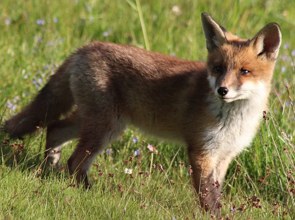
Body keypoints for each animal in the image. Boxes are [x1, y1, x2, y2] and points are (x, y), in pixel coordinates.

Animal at [4, 13, 282, 215]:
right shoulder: (201, 151)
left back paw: (48, 169)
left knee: (55, 128)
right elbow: (208, 196)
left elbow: (215, 192)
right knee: (75, 161)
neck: (234, 119)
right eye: (218, 68)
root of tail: (86, 47)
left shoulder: (224, 155)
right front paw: (214, 216)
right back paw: (86, 191)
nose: (221, 90)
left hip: (98, 121)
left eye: (244, 71)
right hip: (106, 127)